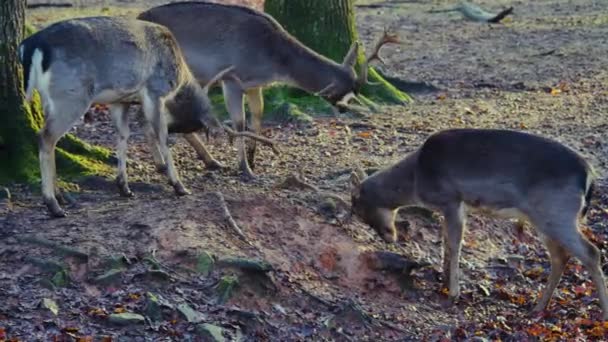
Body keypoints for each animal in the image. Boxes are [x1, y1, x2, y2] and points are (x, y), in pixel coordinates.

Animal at [20, 16, 228, 216]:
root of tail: (30, 45)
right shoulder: (155, 91)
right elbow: (162, 136)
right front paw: (179, 186)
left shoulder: (120, 101)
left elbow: (123, 135)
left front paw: (124, 187)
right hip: (71, 94)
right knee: (45, 136)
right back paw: (53, 205)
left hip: (49, 99)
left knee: (51, 138)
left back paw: (60, 196)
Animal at [137, 1, 400, 180]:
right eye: (346, 92)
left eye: (357, 89)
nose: (345, 110)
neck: (273, 61)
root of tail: (138, 16)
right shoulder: (231, 77)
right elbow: (239, 122)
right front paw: (245, 169)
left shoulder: (254, 85)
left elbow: (258, 115)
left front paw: (253, 160)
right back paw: (170, 164)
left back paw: (206, 161)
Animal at [350, 127, 604, 318]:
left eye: (359, 208)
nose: (388, 237)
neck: (415, 180)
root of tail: (589, 178)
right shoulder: (453, 207)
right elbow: (446, 242)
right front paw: (443, 283)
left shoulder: (452, 200)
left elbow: (455, 245)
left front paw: (452, 295)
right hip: (545, 219)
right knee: (562, 257)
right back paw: (538, 307)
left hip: (556, 213)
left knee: (591, 252)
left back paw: (602, 314)